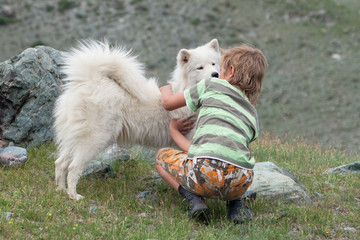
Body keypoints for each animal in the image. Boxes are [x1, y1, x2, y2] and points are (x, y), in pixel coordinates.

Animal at [54, 39, 221, 200]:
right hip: (96, 139)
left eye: (213, 63)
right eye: (199, 68)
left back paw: (61, 191)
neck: (185, 90)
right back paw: (73, 196)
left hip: (76, 138)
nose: (215, 74)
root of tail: (91, 80)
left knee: (60, 163)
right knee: (73, 167)